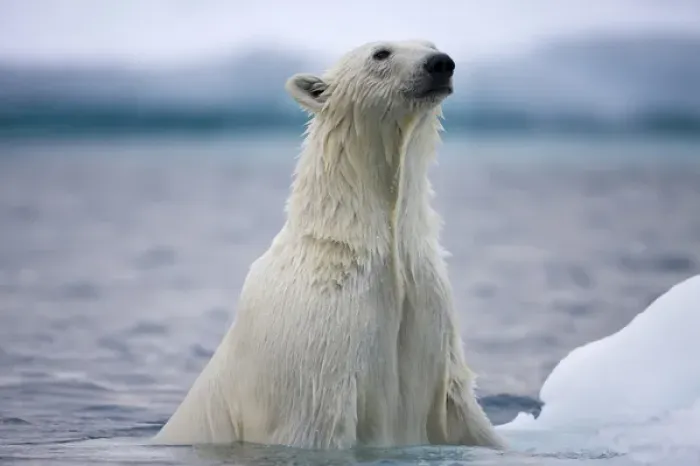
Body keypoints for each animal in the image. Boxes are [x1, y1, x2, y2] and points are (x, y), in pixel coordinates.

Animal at [153, 39, 505, 451]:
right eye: (381, 53)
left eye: (431, 45)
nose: (440, 63)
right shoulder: (314, 351)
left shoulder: (429, 316)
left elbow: (465, 413)